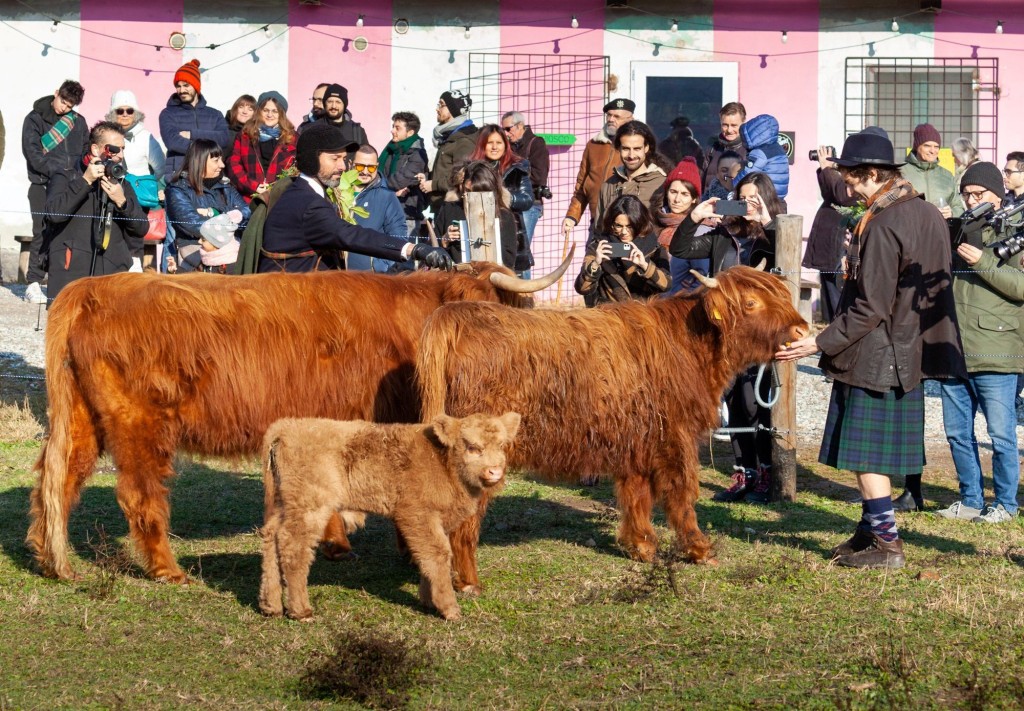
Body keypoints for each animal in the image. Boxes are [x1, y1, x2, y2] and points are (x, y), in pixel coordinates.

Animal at [260, 415, 524, 622]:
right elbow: (437, 554)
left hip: (283, 505)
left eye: (502, 445)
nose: (495, 471)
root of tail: (286, 427)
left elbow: (425, 556)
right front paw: (449, 609)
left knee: (271, 539)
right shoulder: (417, 515)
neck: (442, 461)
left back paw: (271, 605)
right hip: (309, 507)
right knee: (293, 547)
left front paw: (428, 600)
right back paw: (300, 611)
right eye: (472, 447)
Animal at [415, 266, 806, 590]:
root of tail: (456, 316)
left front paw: (642, 546)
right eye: (752, 302)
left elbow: (636, 494)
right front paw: (699, 549)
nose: (802, 328)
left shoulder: (639, 439)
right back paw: (468, 582)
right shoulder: (675, 436)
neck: (689, 344)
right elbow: (681, 493)